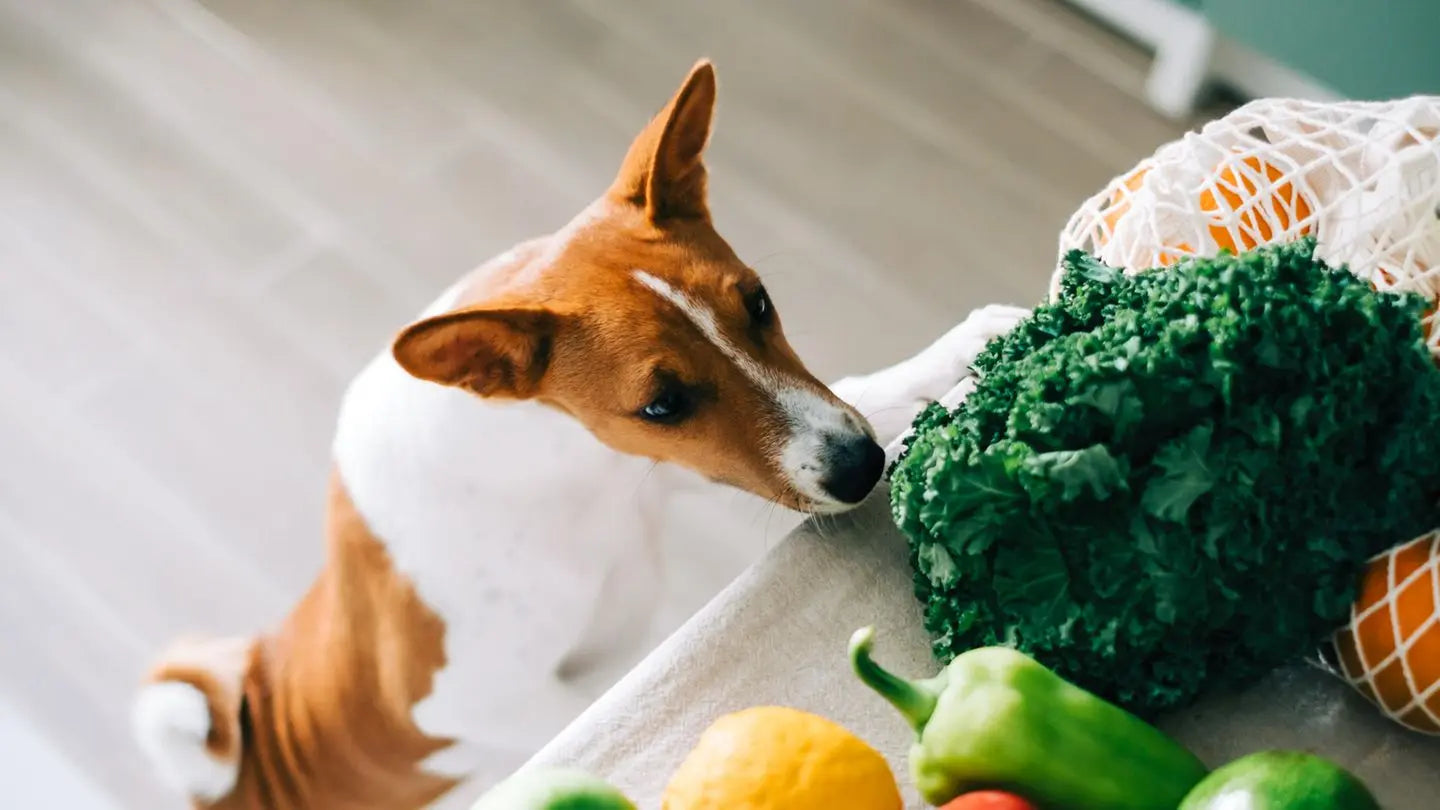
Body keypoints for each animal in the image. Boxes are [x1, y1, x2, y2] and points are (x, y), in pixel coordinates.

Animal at [126, 59, 1025, 801]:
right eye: (661, 404)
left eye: (760, 303)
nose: (861, 467)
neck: (559, 475)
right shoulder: (478, 699)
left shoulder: (664, 471)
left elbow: (863, 389)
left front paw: (964, 348)